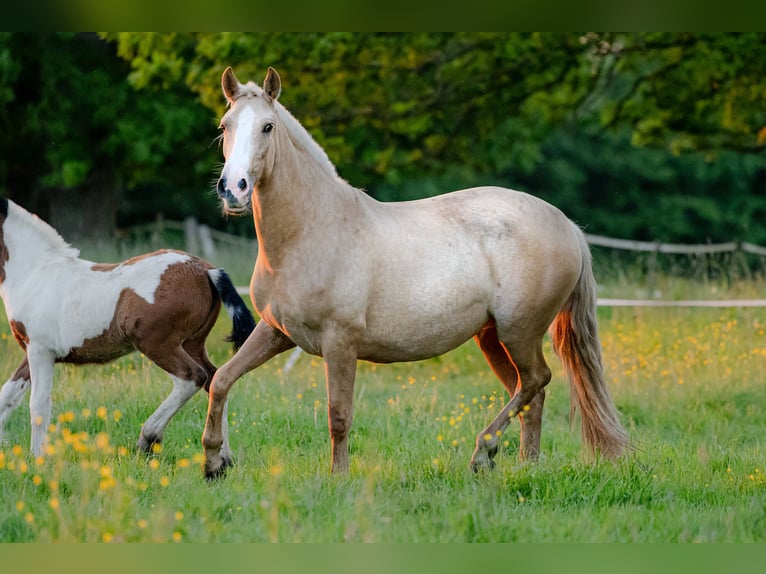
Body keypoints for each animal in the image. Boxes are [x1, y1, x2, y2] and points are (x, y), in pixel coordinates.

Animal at [0, 198, 258, 460]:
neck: (36, 271)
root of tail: (206, 270)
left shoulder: (41, 350)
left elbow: (38, 404)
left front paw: (38, 457)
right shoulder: (33, 351)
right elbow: (8, 394)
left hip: (157, 343)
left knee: (192, 378)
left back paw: (148, 439)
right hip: (192, 344)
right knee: (216, 379)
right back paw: (222, 458)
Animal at [201, 66, 632, 482]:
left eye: (267, 127)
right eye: (225, 125)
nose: (233, 189)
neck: (311, 230)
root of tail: (567, 225)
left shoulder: (340, 343)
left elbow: (338, 416)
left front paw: (338, 479)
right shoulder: (276, 332)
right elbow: (221, 379)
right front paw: (214, 462)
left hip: (519, 332)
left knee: (536, 381)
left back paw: (483, 454)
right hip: (492, 337)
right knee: (530, 392)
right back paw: (525, 466)